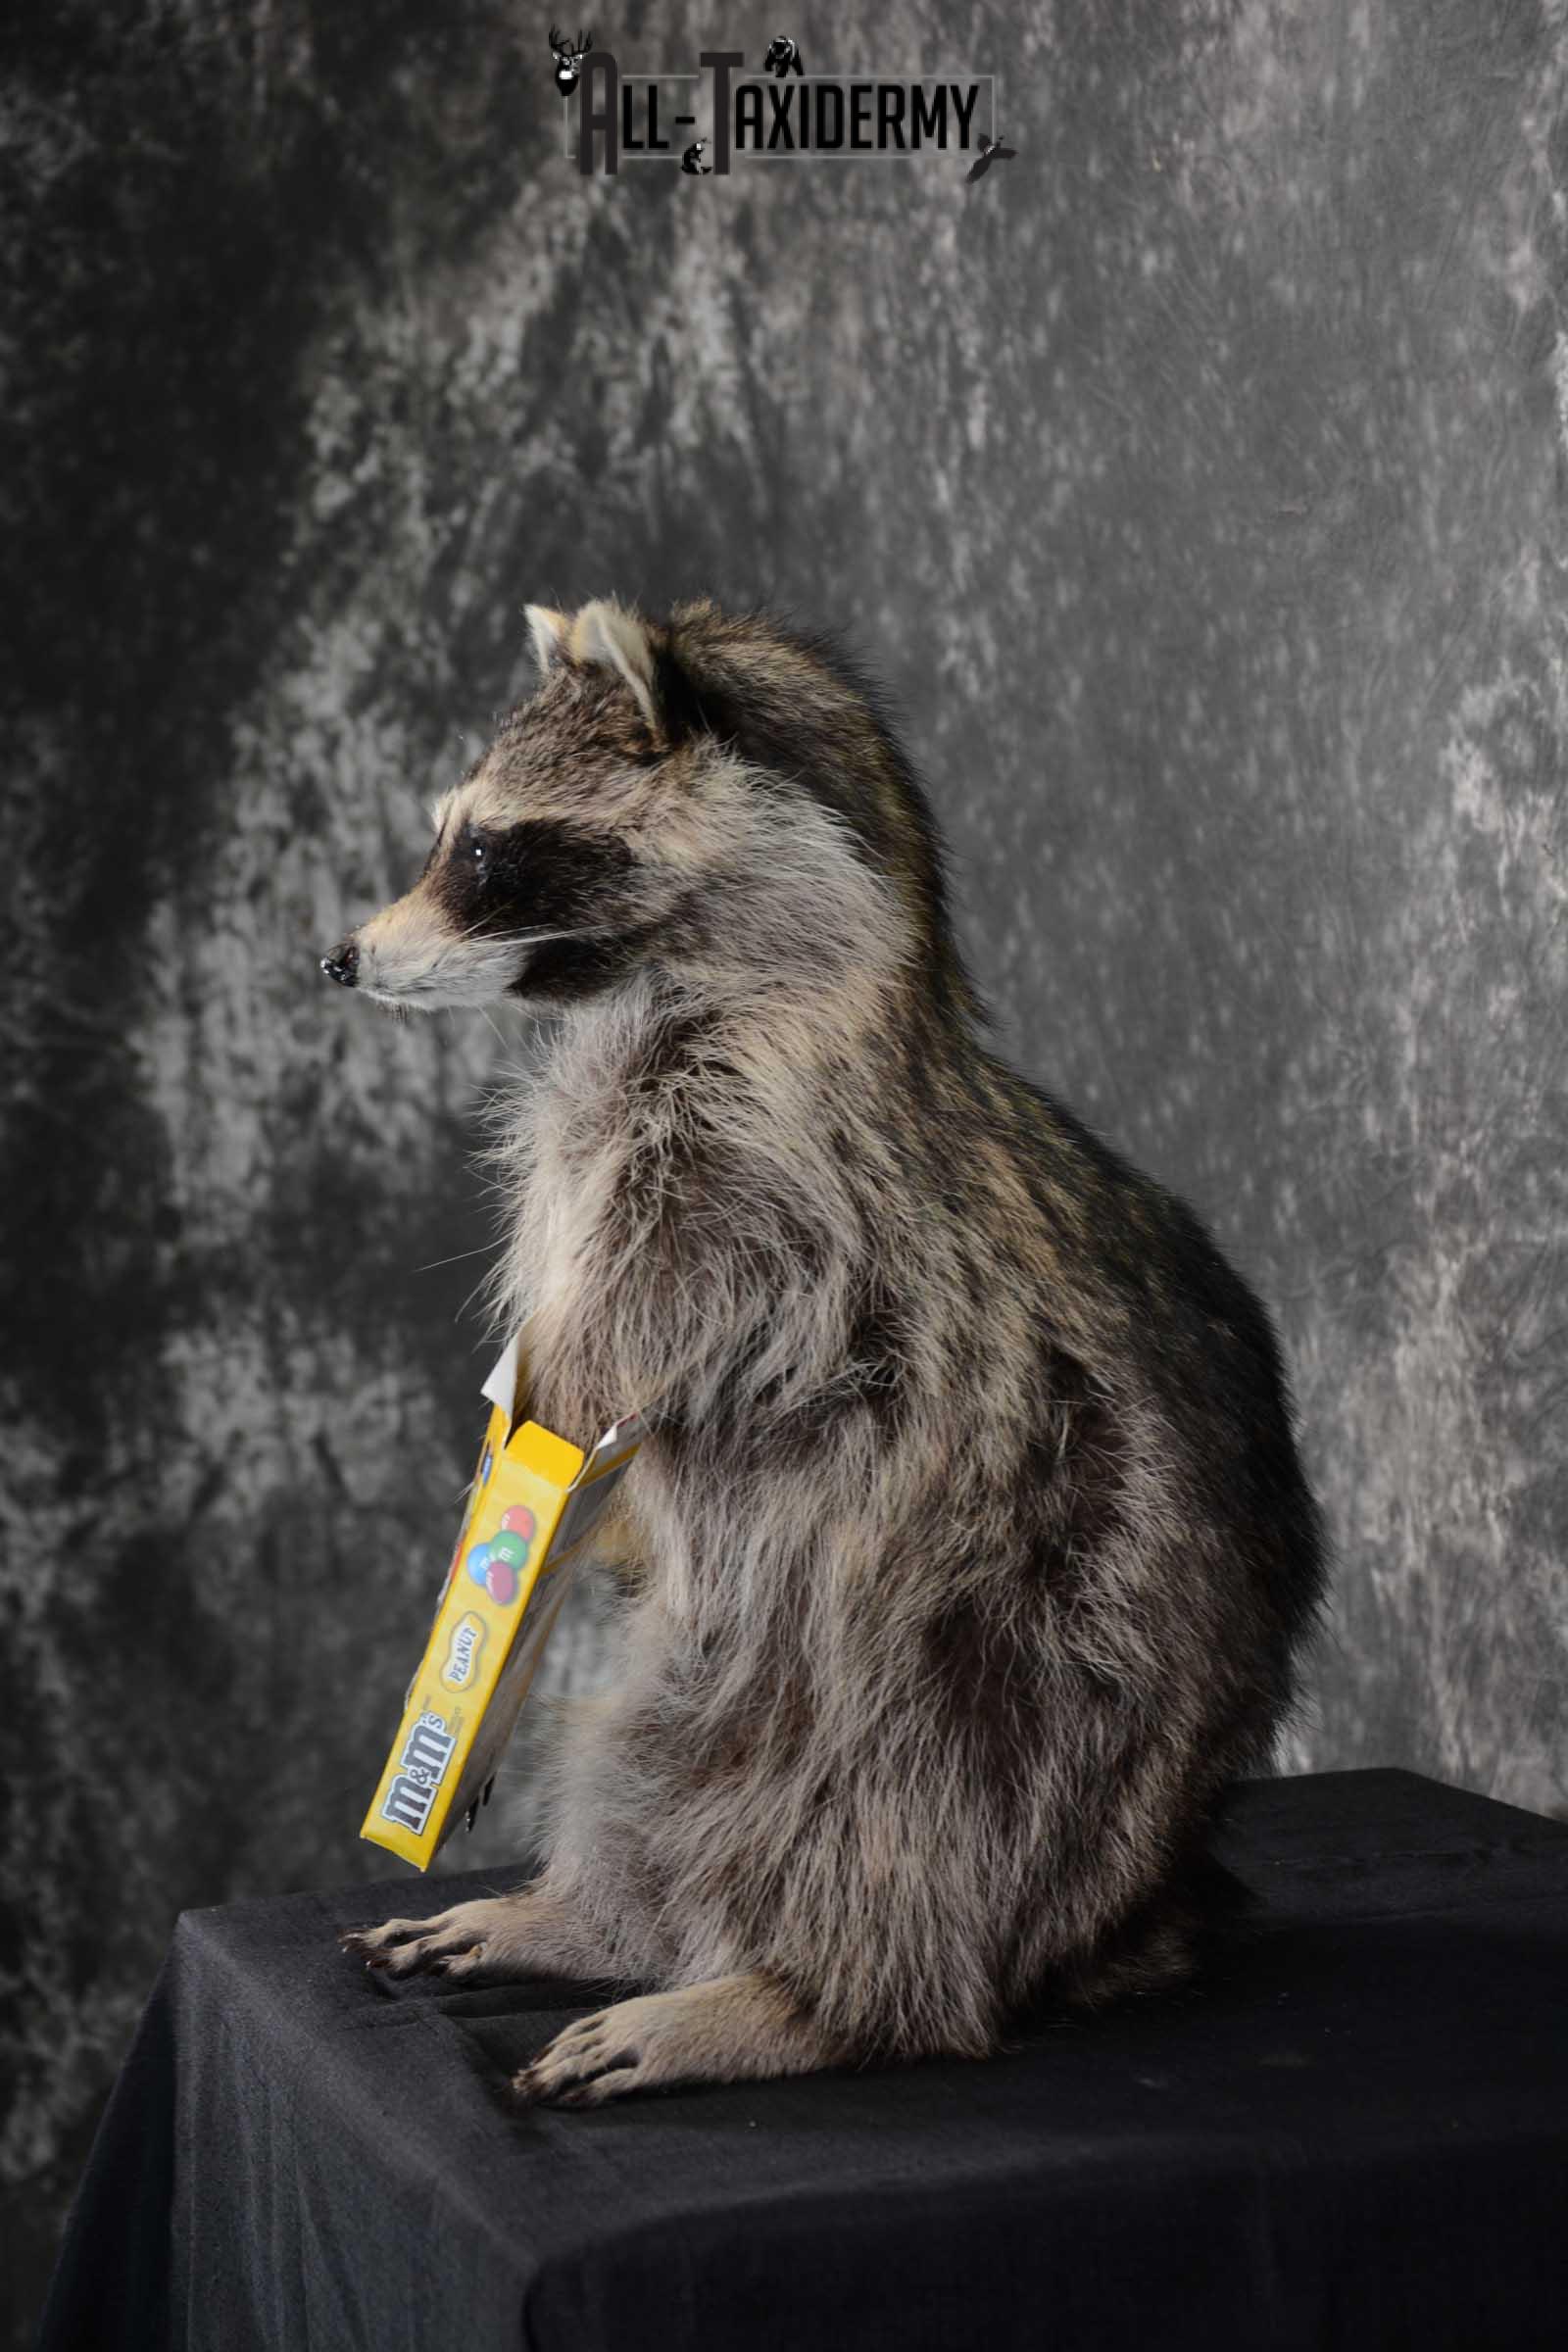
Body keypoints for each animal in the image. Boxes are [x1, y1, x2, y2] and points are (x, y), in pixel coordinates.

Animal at [330, 597, 1327, 2106]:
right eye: (451, 836)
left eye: (488, 852)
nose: (339, 959)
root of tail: (1107, 1913)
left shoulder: (755, 1180)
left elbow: (630, 1359)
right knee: (649, 1748)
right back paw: (599, 1914)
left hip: (1026, 1652)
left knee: (904, 1819)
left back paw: (807, 1999)